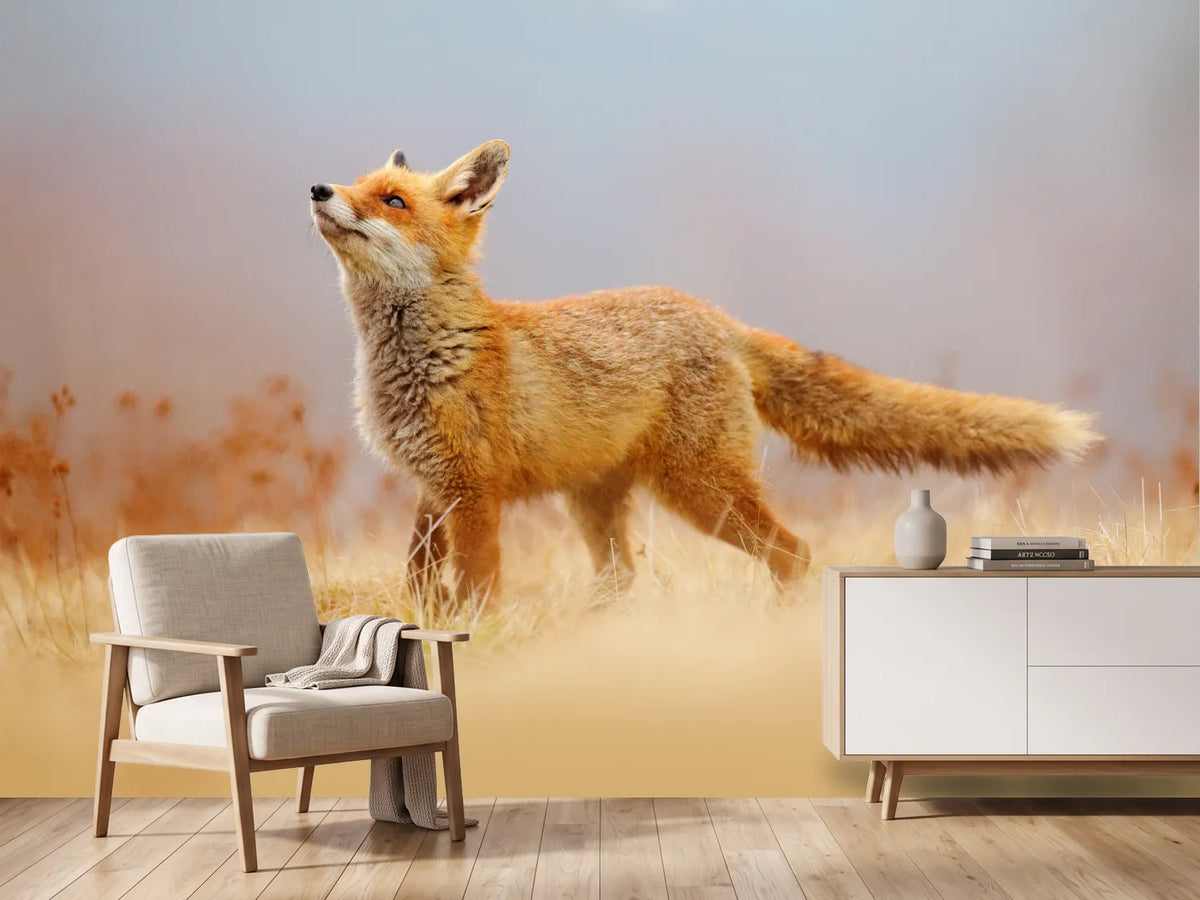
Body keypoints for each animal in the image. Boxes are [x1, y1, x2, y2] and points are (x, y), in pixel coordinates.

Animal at [310, 140, 1099, 603]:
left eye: (391, 201)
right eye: (356, 182)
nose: (319, 189)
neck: (423, 358)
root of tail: (716, 315)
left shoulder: (473, 491)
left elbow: (476, 586)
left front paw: (474, 635)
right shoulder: (430, 486)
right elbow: (417, 578)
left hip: (699, 490)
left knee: (794, 553)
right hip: (599, 504)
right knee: (625, 580)